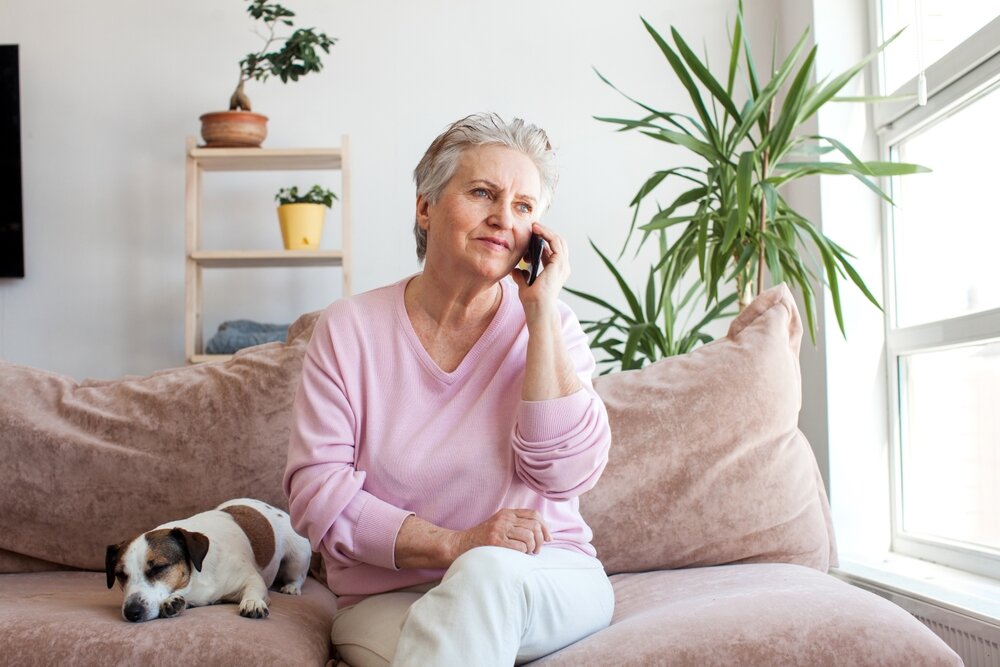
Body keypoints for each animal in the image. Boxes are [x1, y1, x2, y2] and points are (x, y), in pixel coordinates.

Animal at [105, 498, 308, 624]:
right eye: (120, 575)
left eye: (159, 568)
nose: (131, 612)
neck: (197, 577)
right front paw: (172, 603)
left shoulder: (251, 578)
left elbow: (254, 588)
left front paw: (253, 602)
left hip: (298, 558)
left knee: (297, 575)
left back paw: (291, 587)